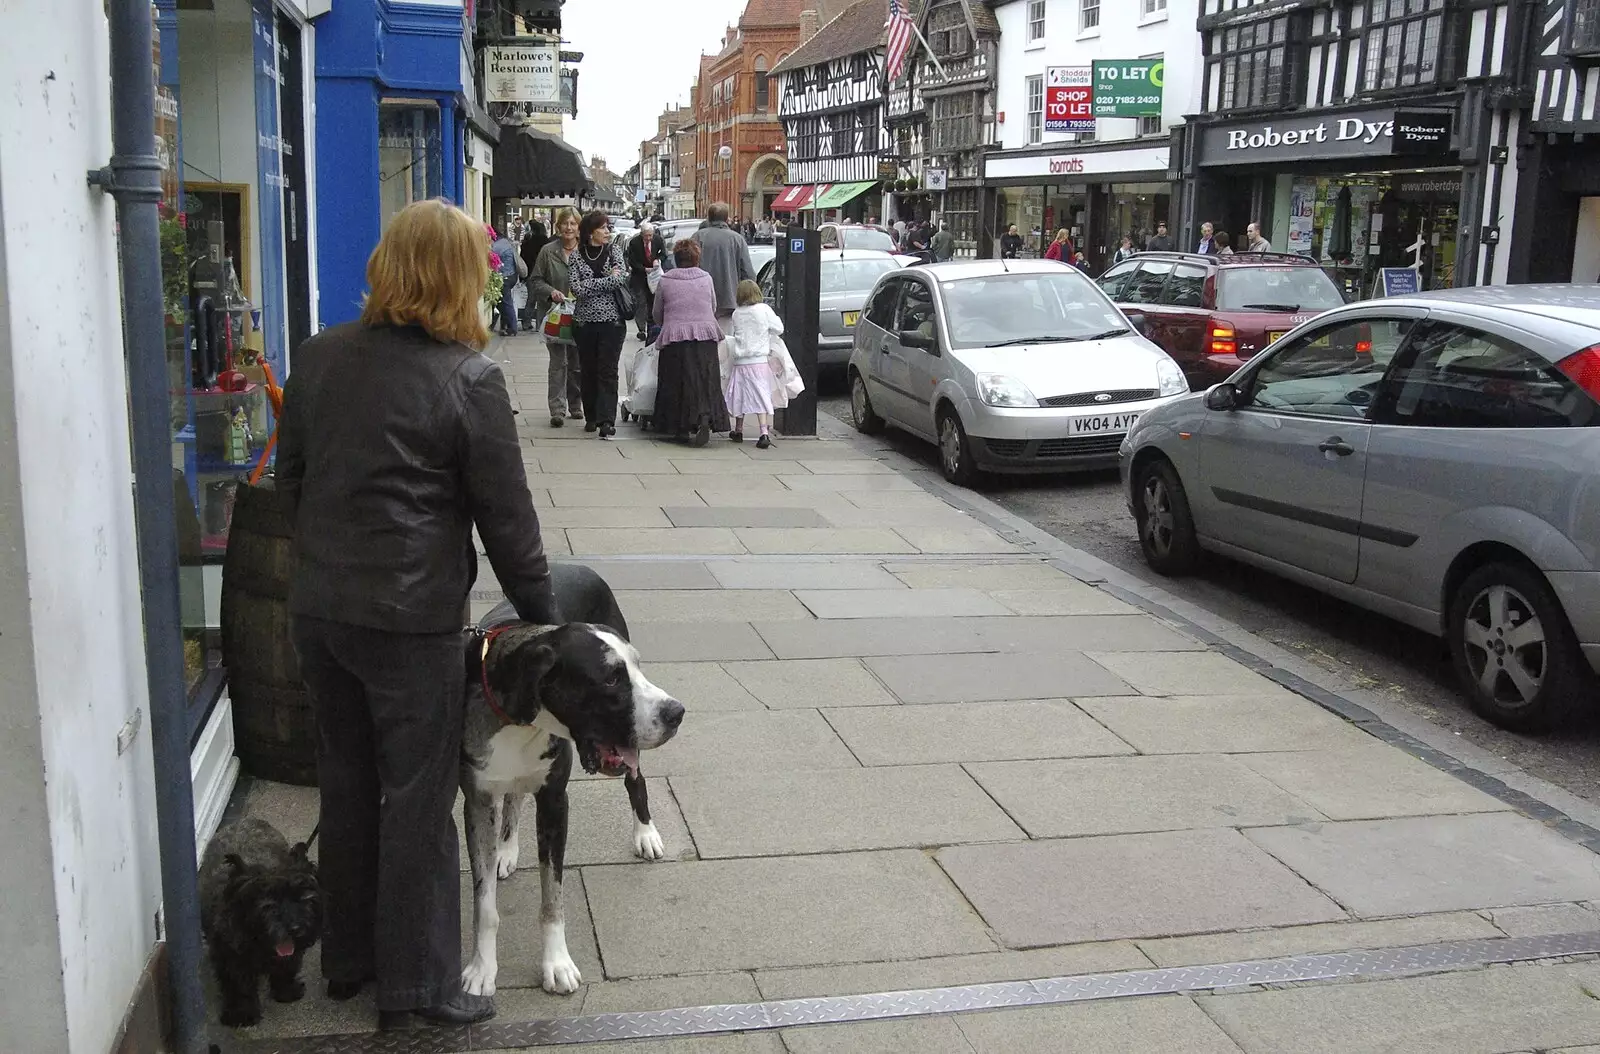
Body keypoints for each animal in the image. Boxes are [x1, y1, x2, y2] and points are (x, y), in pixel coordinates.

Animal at [198, 815, 323, 1030]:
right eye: (267, 906)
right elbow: (238, 985)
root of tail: (247, 819)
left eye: (303, 898)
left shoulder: (291, 952)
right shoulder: (230, 957)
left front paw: (286, 991)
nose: (296, 929)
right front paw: (241, 1014)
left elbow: (287, 966)